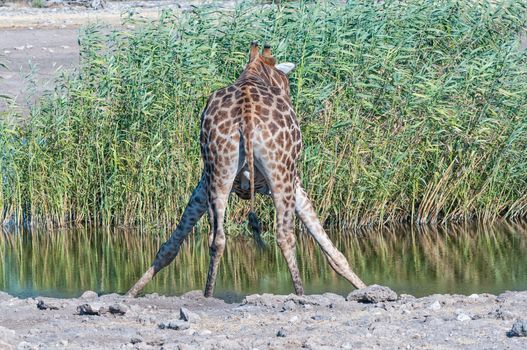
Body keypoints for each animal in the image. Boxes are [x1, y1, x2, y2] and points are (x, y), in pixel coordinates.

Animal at [128, 41, 368, 298]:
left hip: (220, 170)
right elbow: (331, 249)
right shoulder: (295, 183)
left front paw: (131, 292)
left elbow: (169, 246)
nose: (290, 96)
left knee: (217, 238)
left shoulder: (202, 186)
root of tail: (246, 116)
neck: (254, 73)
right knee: (284, 235)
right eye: (287, 84)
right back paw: (300, 294)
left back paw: (207, 295)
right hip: (280, 173)